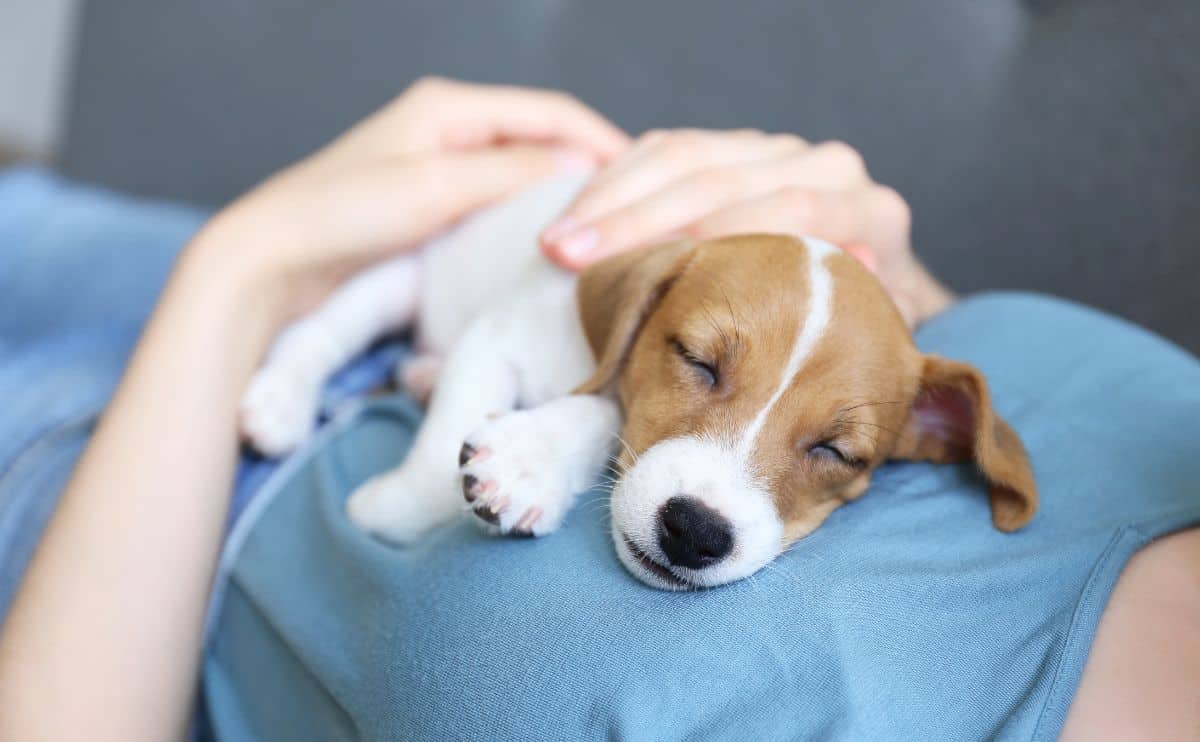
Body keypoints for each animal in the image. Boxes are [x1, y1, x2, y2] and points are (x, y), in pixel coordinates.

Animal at [238, 172, 1036, 588]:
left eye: (836, 452)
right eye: (696, 360)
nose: (696, 533)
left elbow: (603, 410)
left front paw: (533, 458)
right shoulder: (497, 343)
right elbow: (433, 471)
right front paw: (390, 509)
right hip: (402, 272)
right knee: (321, 327)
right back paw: (282, 399)